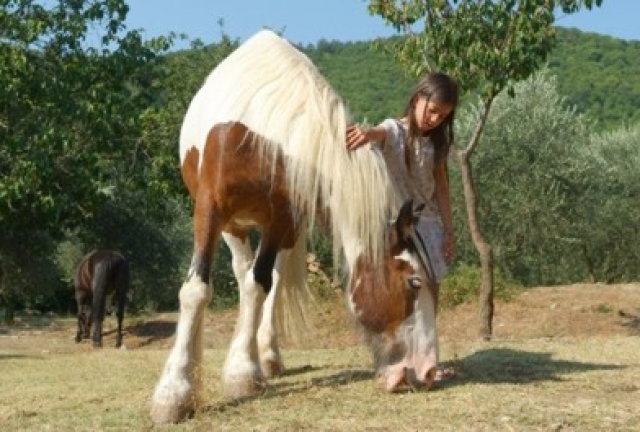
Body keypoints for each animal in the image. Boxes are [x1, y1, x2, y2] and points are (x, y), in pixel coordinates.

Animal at [151, 31, 440, 426]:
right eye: (414, 282)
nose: (429, 371)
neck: (269, 139)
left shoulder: (282, 220)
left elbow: (260, 286)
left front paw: (244, 373)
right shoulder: (210, 210)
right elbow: (196, 290)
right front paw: (175, 392)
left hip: (281, 232)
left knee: (265, 282)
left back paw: (266, 356)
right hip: (233, 226)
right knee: (240, 272)